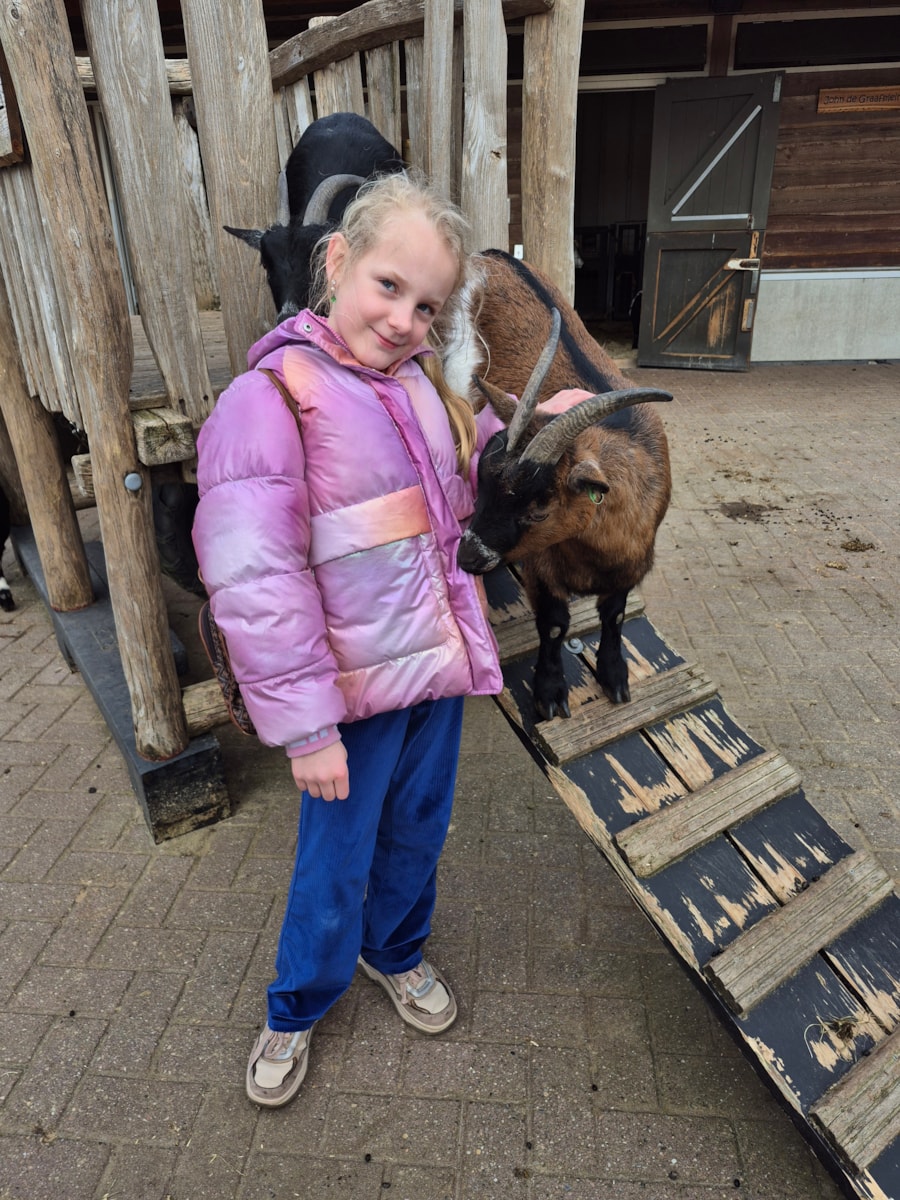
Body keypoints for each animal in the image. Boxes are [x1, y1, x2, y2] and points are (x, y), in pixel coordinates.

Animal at [454, 254, 672, 721]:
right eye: (483, 480)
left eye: (540, 507)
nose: (467, 557)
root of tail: (496, 256)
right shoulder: (543, 567)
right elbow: (554, 625)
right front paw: (550, 692)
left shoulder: (629, 565)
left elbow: (614, 617)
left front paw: (615, 676)